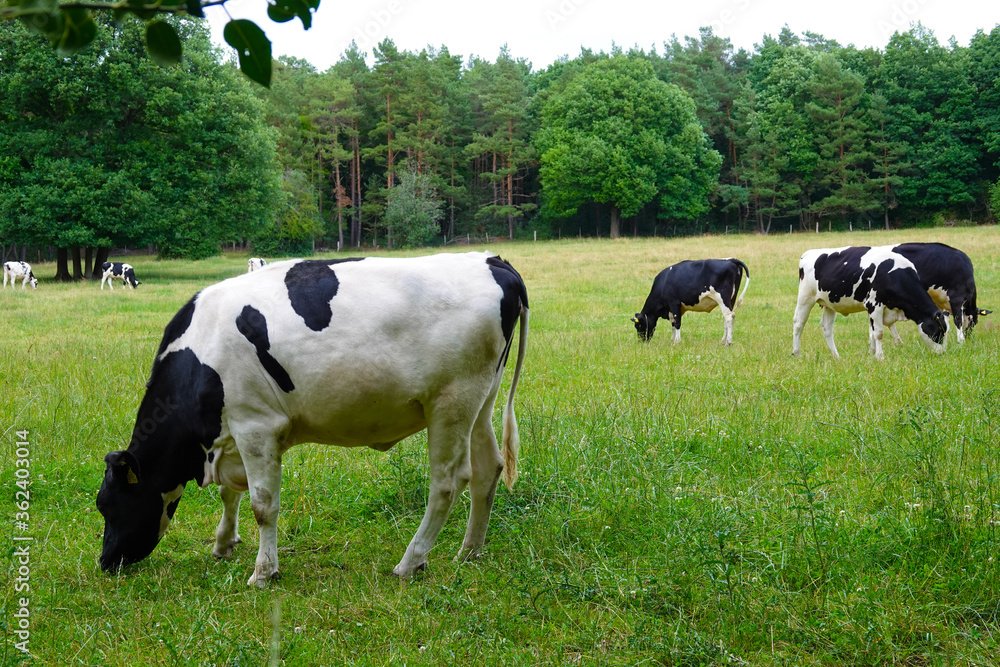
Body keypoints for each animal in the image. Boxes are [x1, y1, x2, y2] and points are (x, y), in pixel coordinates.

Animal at [96, 253, 528, 588]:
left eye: (108, 505)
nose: (105, 562)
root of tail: (493, 261)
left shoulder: (255, 425)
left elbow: (262, 504)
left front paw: (263, 572)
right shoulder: (230, 433)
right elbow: (230, 494)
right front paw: (223, 544)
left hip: (451, 402)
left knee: (448, 482)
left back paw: (410, 562)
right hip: (481, 399)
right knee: (488, 468)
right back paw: (469, 551)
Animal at [792, 245, 948, 360]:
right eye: (938, 331)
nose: (942, 353)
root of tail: (809, 253)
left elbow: (872, 333)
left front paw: (871, 354)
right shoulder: (874, 304)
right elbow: (878, 333)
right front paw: (880, 357)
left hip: (829, 303)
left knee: (827, 328)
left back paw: (836, 356)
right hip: (805, 297)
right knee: (799, 323)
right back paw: (797, 353)